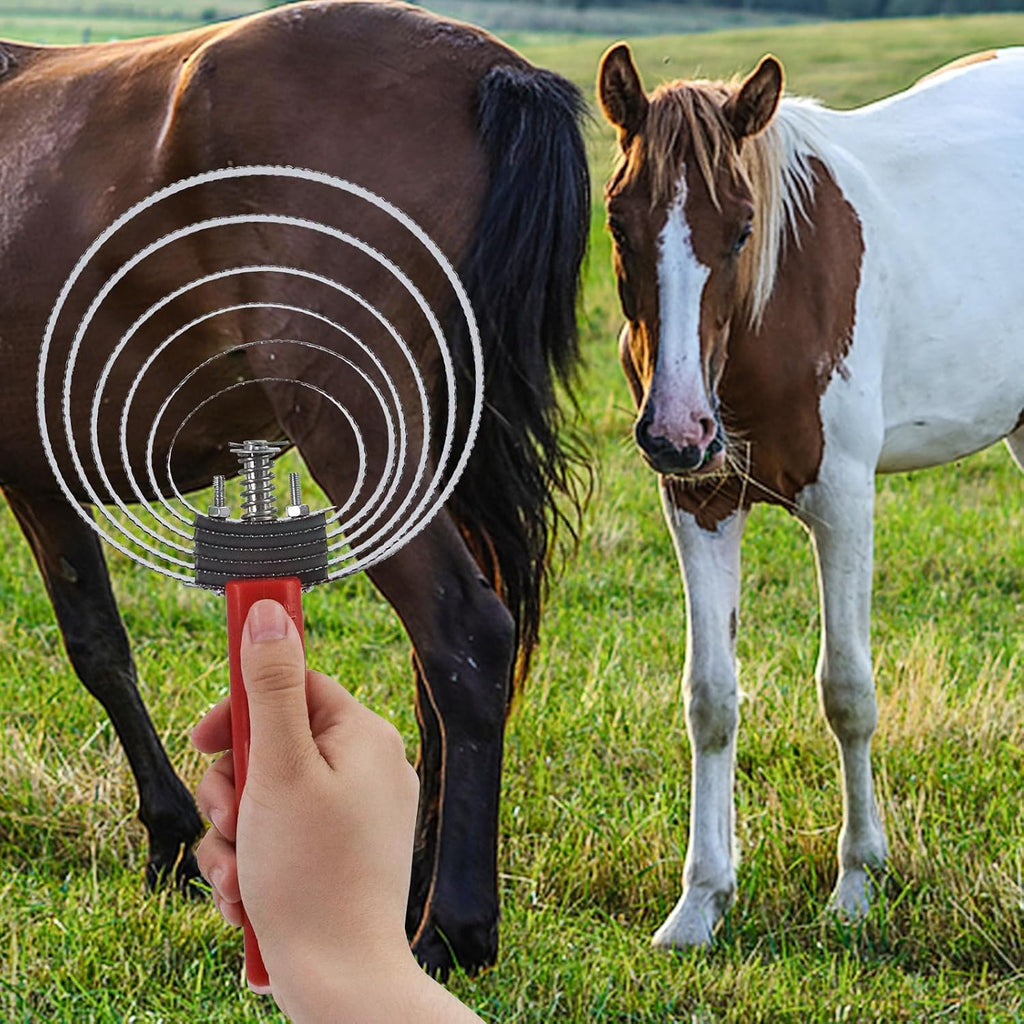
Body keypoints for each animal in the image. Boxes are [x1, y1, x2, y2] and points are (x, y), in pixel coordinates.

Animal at [0, 0, 589, 977]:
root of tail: (489, 70)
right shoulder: (39, 474)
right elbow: (101, 646)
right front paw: (173, 841)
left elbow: (93, 651)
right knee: (442, 669)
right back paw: (409, 887)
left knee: (464, 638)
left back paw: (451, 929)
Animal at [597, 43, 1023, 948]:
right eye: (618, 222)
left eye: (743, 228)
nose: (676, 428)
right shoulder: (700, 502)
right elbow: (711, 698)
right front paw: (701, 900)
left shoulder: (843, 502)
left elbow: (848, 693)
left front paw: (858, 883)